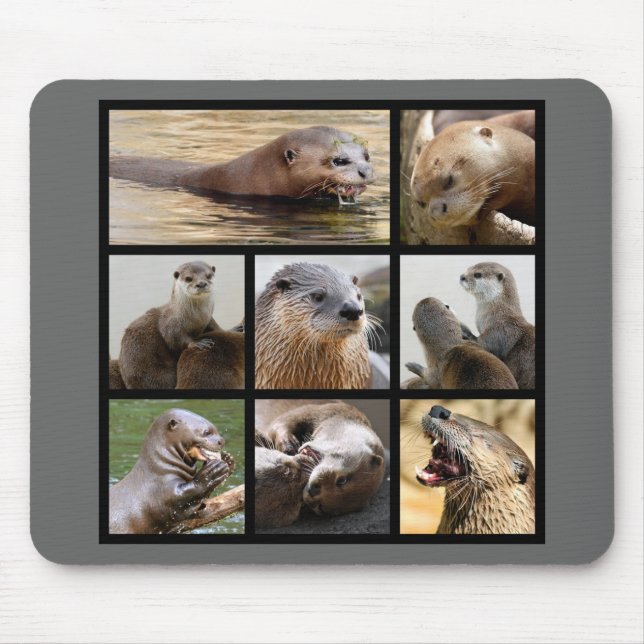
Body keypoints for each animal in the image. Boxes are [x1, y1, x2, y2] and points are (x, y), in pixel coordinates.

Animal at [117, 261, 219, 389]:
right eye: (188, 278)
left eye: (209, 275)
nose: (201, 284)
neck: (198, 318)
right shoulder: (170, 323)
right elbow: (174, 339)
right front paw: (197, 343)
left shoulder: (208, 319)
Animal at [256, 400, 385, 516]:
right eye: (342, 480)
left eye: (321, 508)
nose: (313, 490)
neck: (335, 419)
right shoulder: (318, 410)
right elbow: (280, 423)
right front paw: (289, 445)